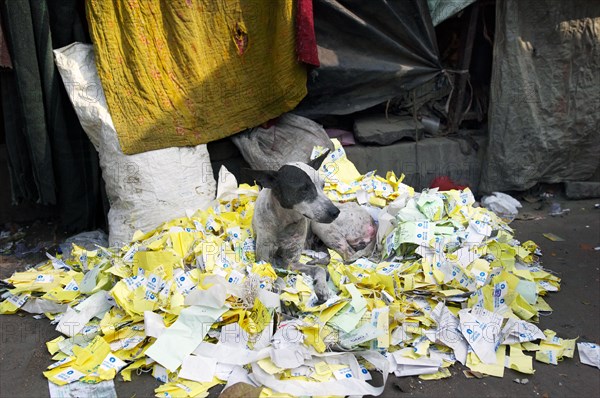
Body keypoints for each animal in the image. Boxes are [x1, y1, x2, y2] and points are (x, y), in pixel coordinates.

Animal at [248, 152, 340, 302]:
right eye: (304, 189)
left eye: (323, 185)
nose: (335, 212)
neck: (285, 221)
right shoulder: (264, 259)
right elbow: (276, 276)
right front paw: (277, 288)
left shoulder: (291, 263)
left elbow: (318, 269)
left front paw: (322, 287)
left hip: (320, 228)